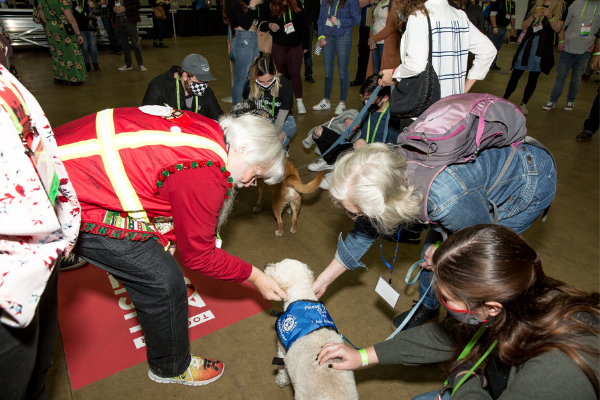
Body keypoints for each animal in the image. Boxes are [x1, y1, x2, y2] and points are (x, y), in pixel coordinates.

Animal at [262, 260, 356, 400]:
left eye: (276, 267)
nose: (265, 265)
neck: (302, 295)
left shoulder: (283, 350)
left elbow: (282, 368)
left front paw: (281, 380)